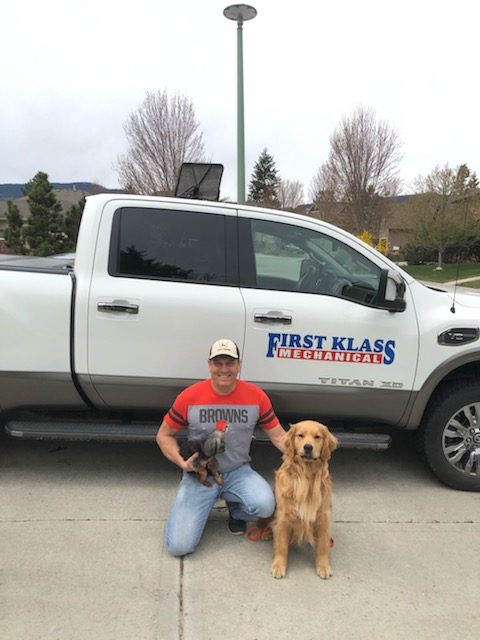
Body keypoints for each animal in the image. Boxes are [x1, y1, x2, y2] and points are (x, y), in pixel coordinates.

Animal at [261, 420, 338, 579]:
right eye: (300, 435)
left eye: (317, 437)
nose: (308, 447)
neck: (306, 475)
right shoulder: (284, 515)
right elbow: (281, 544)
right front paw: (278, 565)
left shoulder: (323, 515)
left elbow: (322, 545)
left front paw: (323, 566)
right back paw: (266, 533)